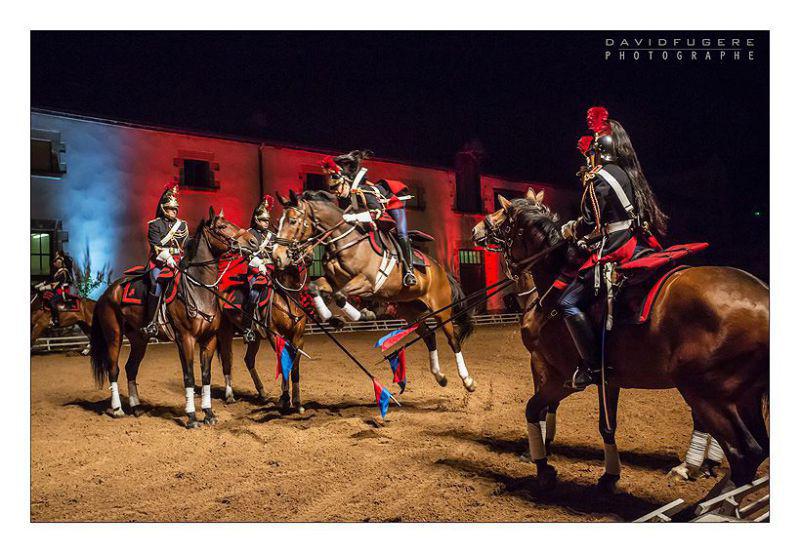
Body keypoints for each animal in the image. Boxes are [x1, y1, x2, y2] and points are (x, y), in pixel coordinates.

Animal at [89, 208, 257, 428]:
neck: (198, 289)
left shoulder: (209, 339)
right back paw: (117, 409)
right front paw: (192, 417)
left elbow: (206, 376)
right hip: (114, 336)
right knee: (113, 369)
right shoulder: (185, 339)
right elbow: (189, 376)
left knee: (131, 369)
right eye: (222, 226)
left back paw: (136, 407)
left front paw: (208, 413)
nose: (253, 241)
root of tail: (106, 293)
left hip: (139, 339)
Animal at [218, 267, 307, 412]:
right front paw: (284, 399)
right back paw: (230, 396)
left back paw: (262, 393)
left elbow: (294, 368)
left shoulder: (299, 339)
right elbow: (283, 362)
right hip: (225, 331)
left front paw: (297, 402)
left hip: (256, 337)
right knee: (226, 359)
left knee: (248, 359)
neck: (287, 299)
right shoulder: (275, 336)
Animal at [272, 190, 477, 392]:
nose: (277, 256)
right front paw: (333, 319)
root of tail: (441, 270)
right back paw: (439, 376)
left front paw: (363, 315)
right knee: (429, 335)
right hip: (410, 311)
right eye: (279, 221)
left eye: (292, 221)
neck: (346, 241)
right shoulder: (334, 281)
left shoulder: (367, 282)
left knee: (453, 340)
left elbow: (340, 296)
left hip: (441, 310)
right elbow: (314, 288)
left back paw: (467, 380)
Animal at [472, 190, 769, 491]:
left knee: (743, 451)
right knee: (756, 448)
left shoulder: (558, 374)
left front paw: (541, 463)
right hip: (743, 395)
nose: (476, 230)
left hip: (705, 391)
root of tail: (762, 298)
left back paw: (697, 474)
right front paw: (609, 474)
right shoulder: (607, 379)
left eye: (501, 215)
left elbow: (535, 408)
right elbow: (606, 425)